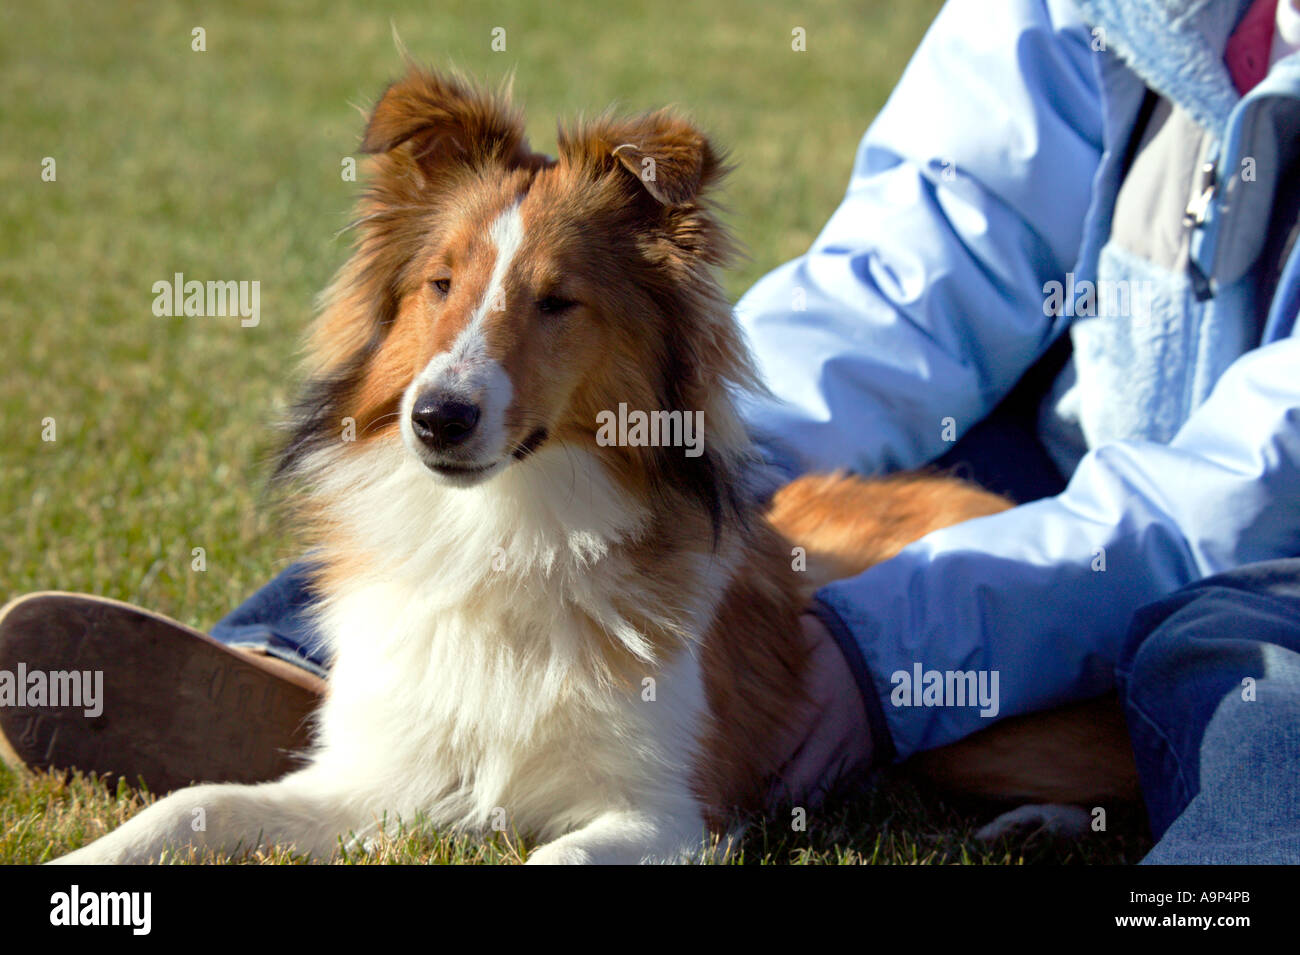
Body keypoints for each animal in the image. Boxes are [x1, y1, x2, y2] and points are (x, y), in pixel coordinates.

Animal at [50, 67, 1133, 867]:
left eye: (558, 300)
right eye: (439, 283)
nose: (435, 419)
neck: (506, 530)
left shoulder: (668, 813)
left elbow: (550, 854)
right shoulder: (375, 779)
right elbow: (196, 801)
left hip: (996, 726)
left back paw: (1036, 823)